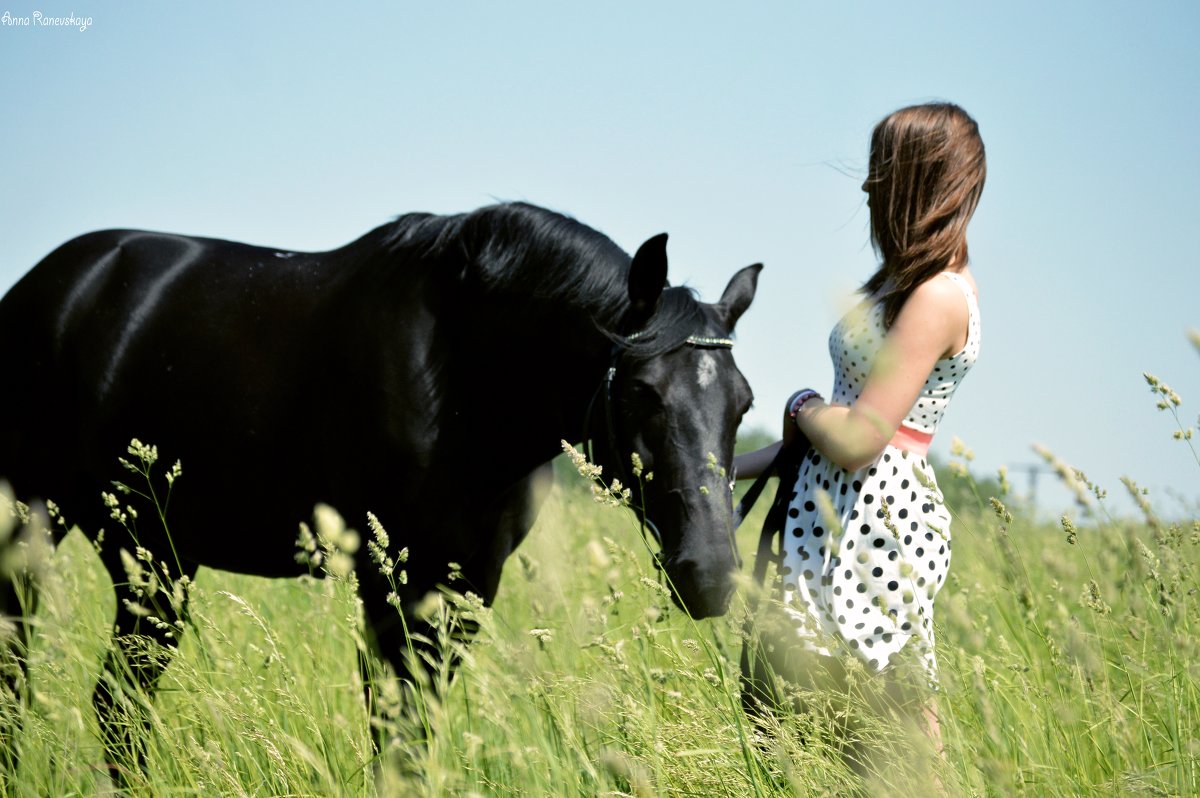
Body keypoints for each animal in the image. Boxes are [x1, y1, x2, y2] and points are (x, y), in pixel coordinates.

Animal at [0, 199, 758, 772]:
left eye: (743, 403)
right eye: (640, 392)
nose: (710, 574)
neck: (461, 374)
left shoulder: (463, 588)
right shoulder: (388, 583)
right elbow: (394, 735)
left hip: (154, 555)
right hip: (67, 536)